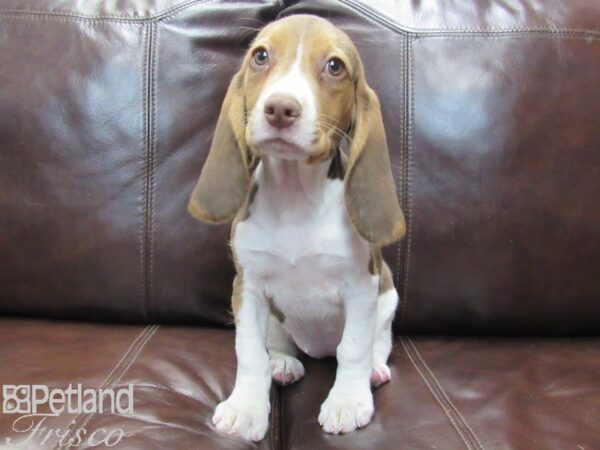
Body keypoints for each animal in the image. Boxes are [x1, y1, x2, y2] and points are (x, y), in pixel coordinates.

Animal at [189, 14, 404, 442]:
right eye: (260, 56)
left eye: (335, 66)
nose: (280, 108)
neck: (295, 198)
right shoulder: (248, 289)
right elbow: (249, 353)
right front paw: (245, 408)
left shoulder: (363, 288)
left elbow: (353, 348)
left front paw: (347, 401)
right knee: (277, 347)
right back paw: (283, 364)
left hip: (388, 300)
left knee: (376, 343)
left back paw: (373, 370)